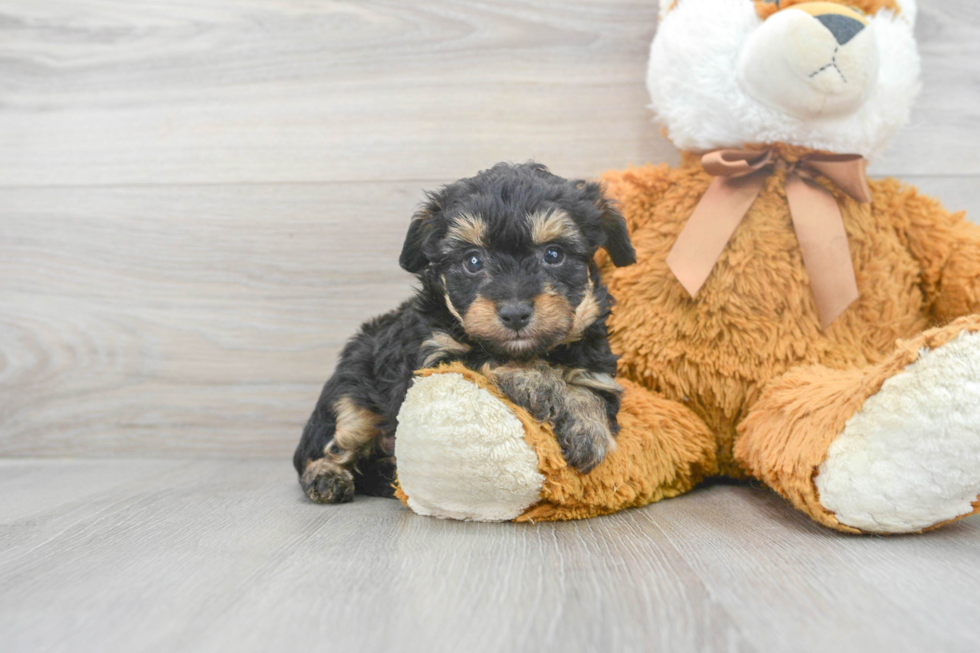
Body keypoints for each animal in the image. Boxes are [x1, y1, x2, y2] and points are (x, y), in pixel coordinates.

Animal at [292, 160, 636, 502]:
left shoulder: (597, 366)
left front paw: (589, 428)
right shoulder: (432, 358)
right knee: (325, 445)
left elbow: (592, 391)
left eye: (553, 255)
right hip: (350, 396)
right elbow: (489, 358)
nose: (514, 313)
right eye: (473, 261)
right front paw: (540, 383)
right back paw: (326, 477)